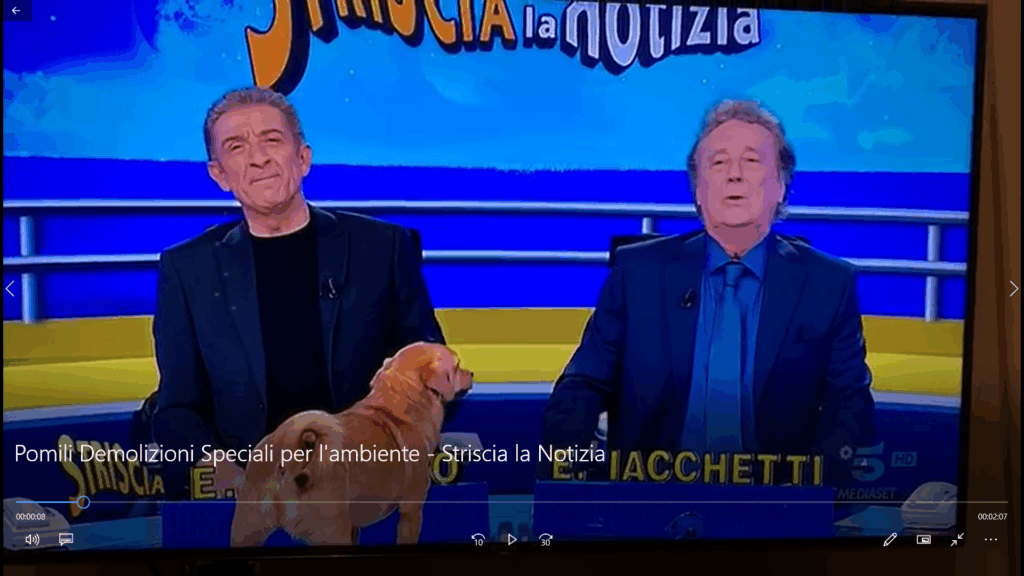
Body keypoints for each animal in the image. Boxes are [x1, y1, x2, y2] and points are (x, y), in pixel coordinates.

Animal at [229, 342, 473, 546]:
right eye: (457, 366)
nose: (471, 372)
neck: (398, 406)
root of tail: (290, 443)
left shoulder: (354, 527)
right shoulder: (411, 510)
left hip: (247, 528)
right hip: (333, 529)